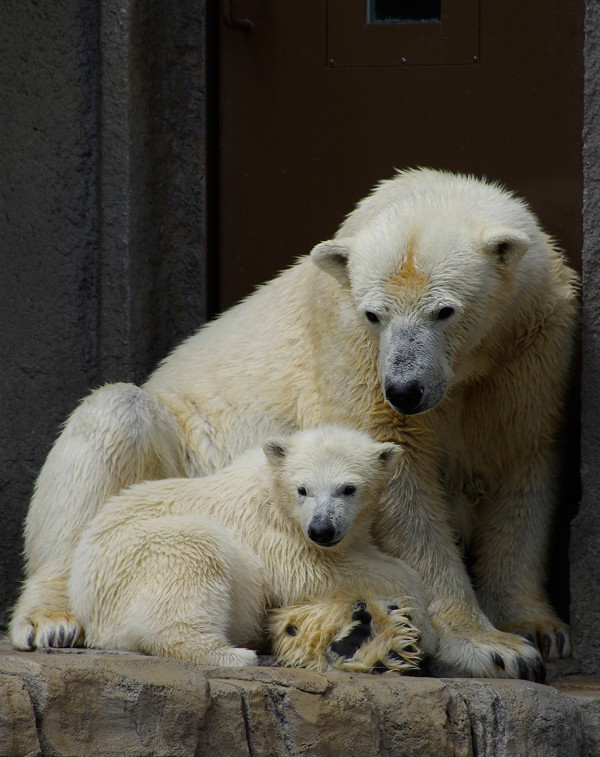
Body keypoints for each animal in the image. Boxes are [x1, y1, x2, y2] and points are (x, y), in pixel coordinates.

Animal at [10, 168, 576, 676]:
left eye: (445, 311)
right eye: (375, 314)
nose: (404, 390)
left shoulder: (531, 346)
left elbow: (519, 465)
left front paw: (538, 629)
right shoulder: (348, 342)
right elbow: (402, 486)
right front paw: (492, 647)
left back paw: (353, 634)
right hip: (184, 452)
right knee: (114, 419)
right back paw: (50, 619)